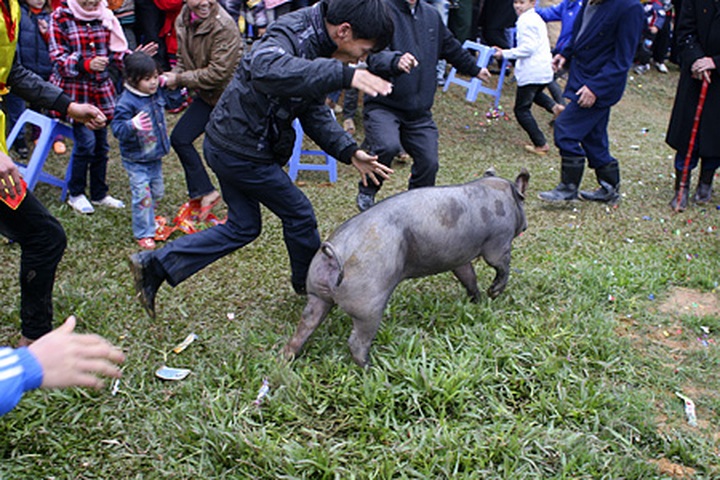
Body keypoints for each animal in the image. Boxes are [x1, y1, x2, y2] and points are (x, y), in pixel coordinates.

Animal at [282, 168, 529, 367]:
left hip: (317, 295)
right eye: (523, 201)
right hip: (368, 306)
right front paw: (493, 294)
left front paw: (477, 301)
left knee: (304, 326)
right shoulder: (498, 243)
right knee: (356, 342)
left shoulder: (460, 259)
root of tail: (332, 253)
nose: (525, 225)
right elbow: (502, 266)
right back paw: (371, 368)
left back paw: (285, 359)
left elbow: (469, 277)